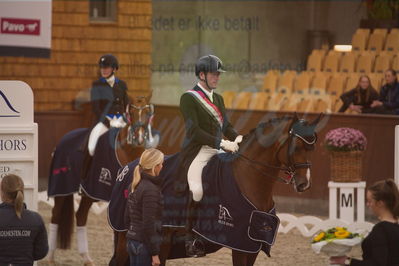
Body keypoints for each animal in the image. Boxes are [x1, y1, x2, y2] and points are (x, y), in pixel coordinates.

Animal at [45, 95, 155, 264]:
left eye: (148, 112)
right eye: (131, 112)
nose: (139, 137)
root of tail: (64, 138)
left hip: (89, 194)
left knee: (81, 216)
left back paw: (87, 259)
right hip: (61, 189)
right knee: (56, 215)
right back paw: (50, 257)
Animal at [108, 113, 322, 264]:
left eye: (312, 148)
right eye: (297, 147)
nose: (304, 184)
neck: (247, 178)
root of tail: (127, 169)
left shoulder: (253, 246)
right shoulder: (240, 245)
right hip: (131, 237)